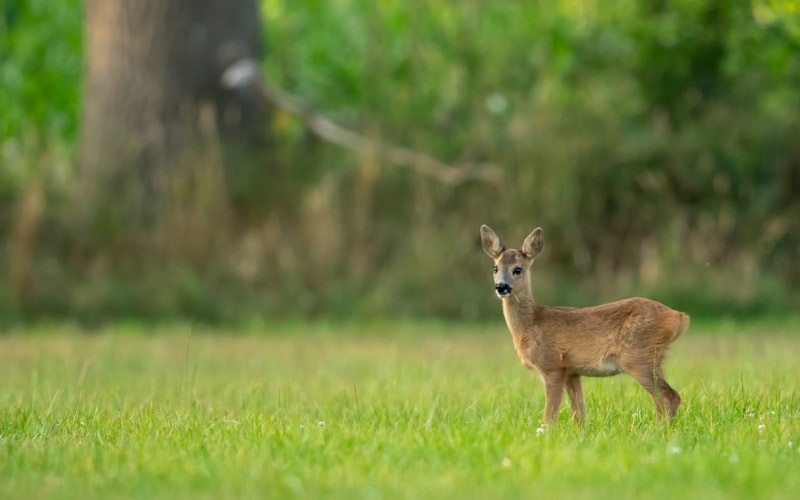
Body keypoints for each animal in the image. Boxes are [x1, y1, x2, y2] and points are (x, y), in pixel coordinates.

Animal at [480, 224, 689, 424]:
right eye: (495, 268)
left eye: (518, 269)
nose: (501, 287)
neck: (531, 324)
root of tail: (679, 316)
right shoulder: (572, 372)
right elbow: (580, 416)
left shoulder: (553, 365)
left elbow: (550, 416)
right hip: (652, 358)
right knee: (660, 401)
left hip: (638, 357)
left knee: (670, 397)